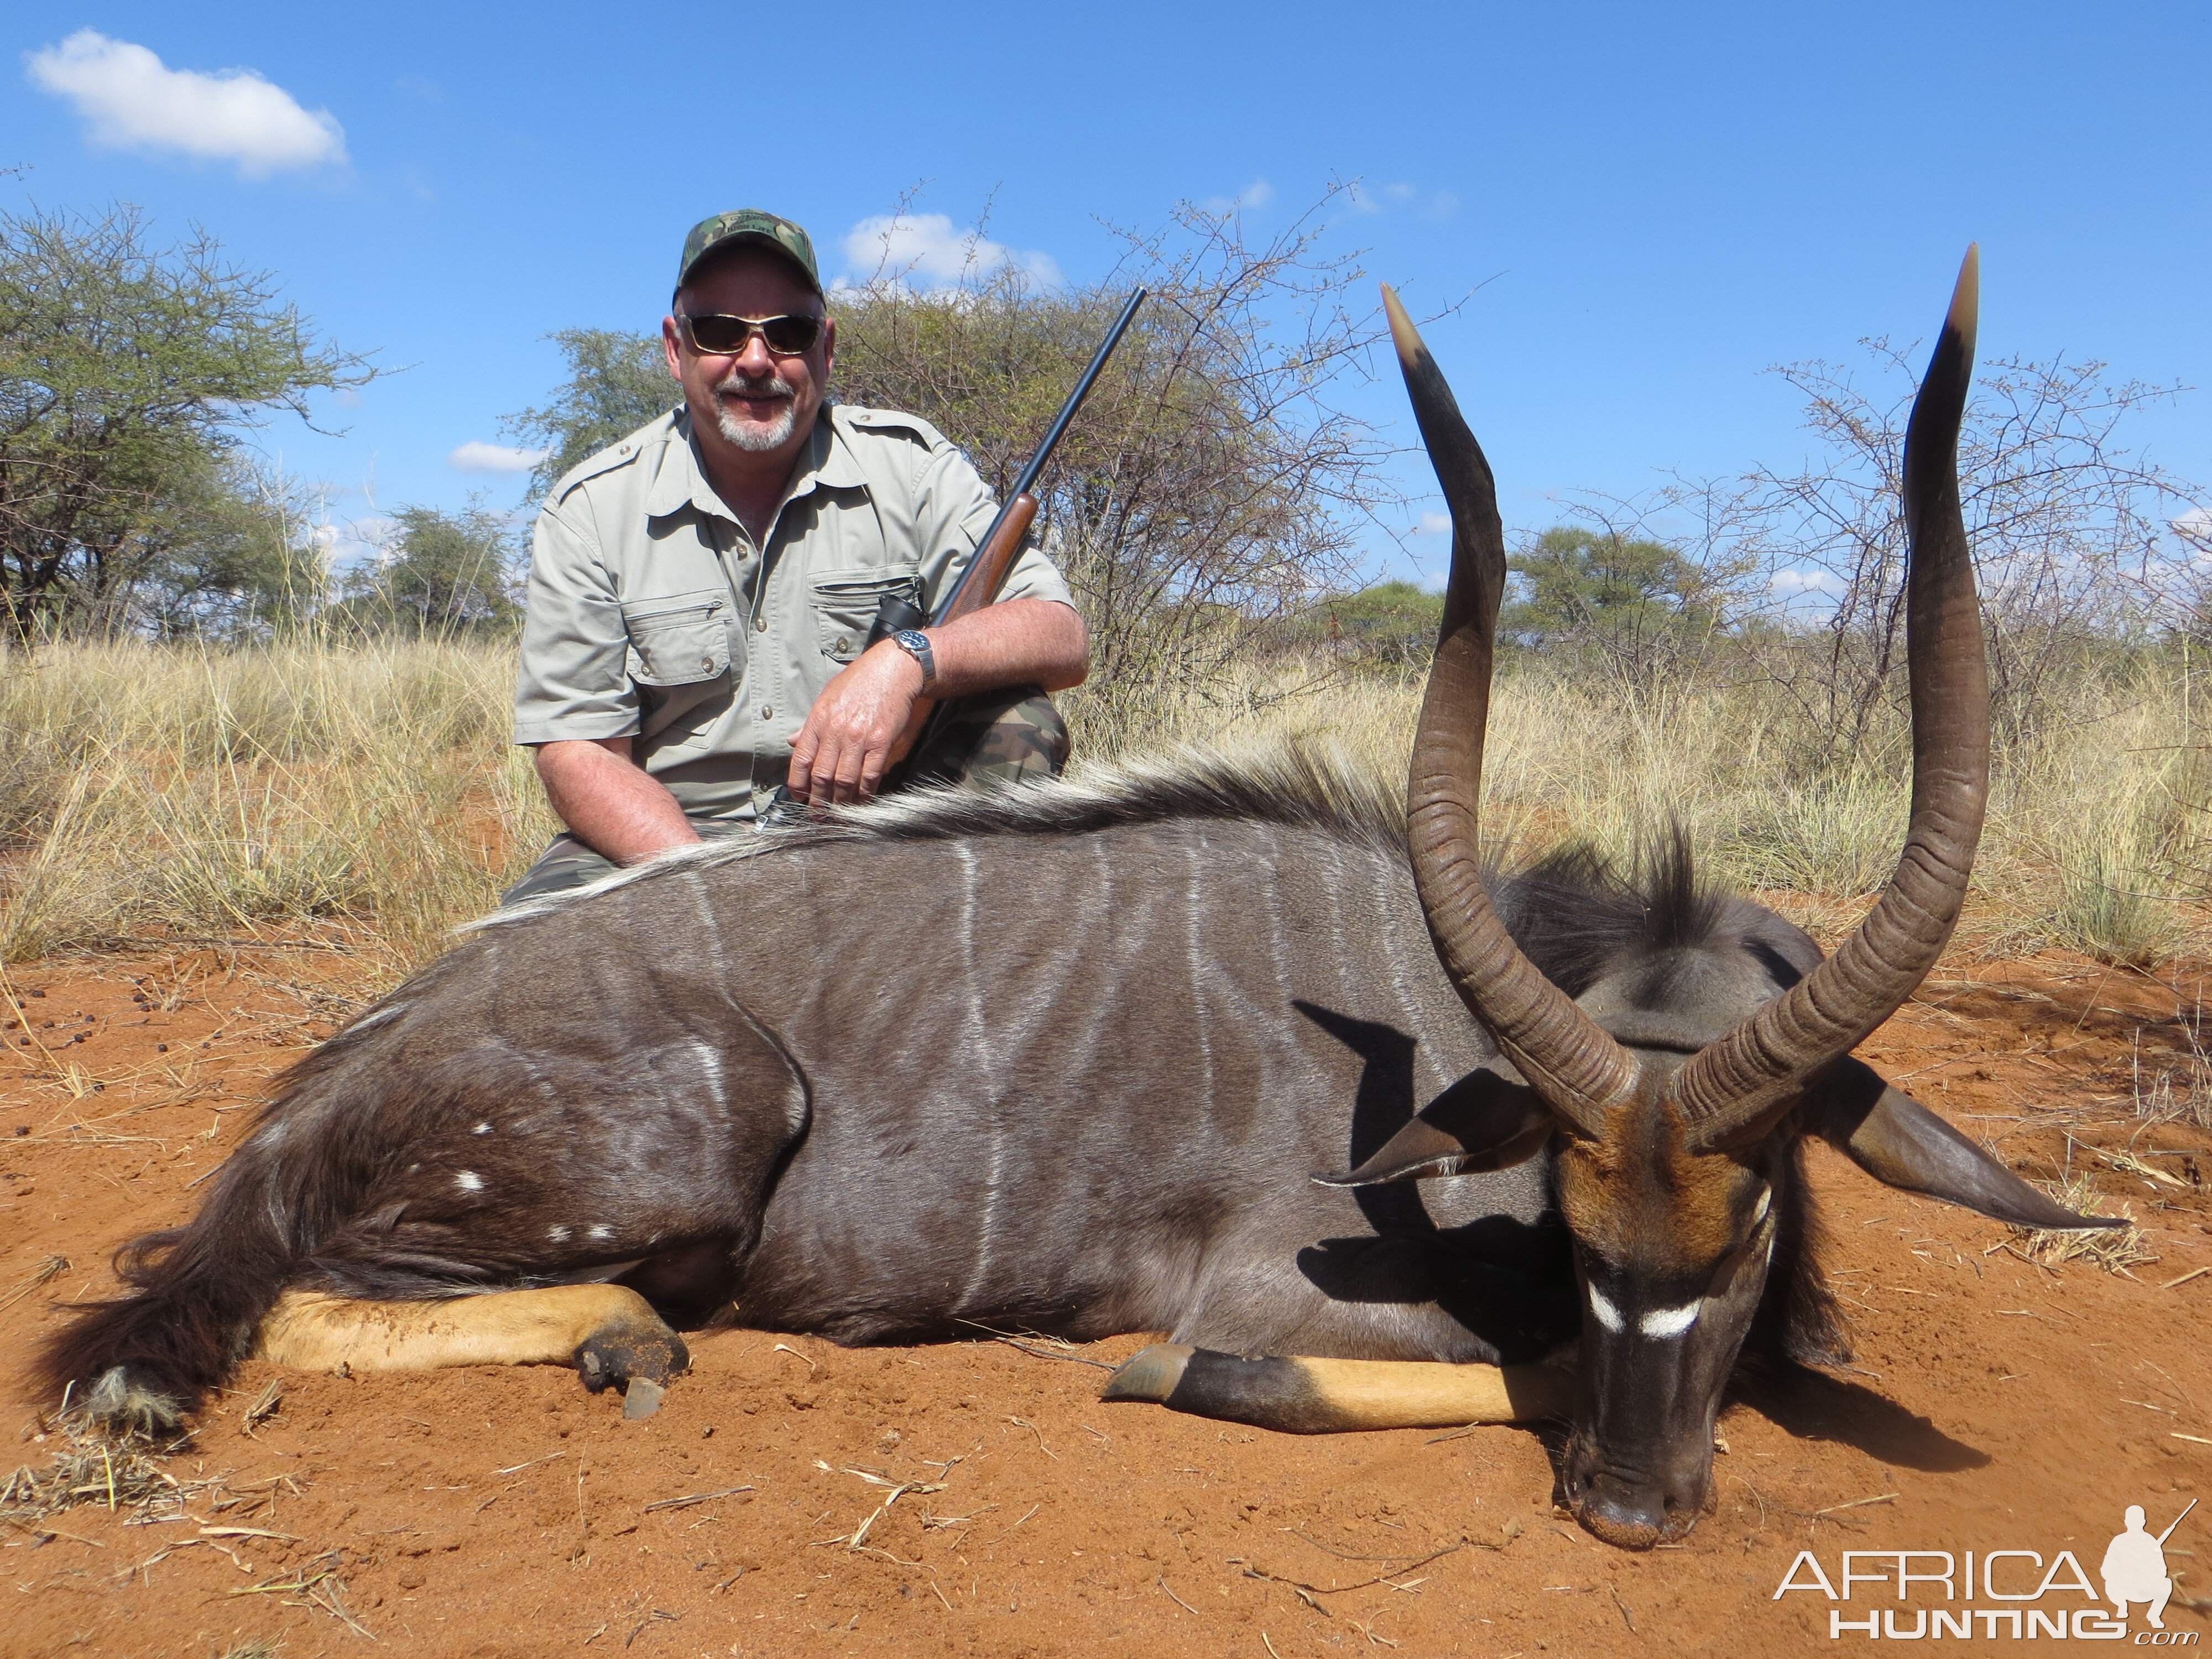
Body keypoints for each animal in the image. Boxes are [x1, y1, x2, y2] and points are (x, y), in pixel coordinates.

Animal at [34, 253, 2106, 1557]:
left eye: (1748, 1217)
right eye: (1583, 1213)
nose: (1631, 1509)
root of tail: (323, 1091)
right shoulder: (1300, 1283)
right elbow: (1473, 1366)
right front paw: (1166, 1369)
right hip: (694, 1131)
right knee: (285, 1304)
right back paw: (626, 1337)